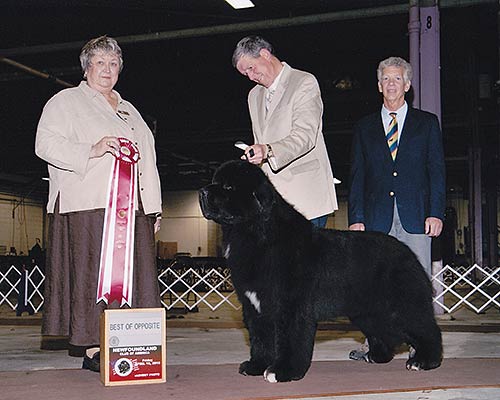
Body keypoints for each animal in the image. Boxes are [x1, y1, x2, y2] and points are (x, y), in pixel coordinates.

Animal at [198, 159, 442, 382]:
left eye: (229, 187)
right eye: (215, 182)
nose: (202, 191)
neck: (257, 232)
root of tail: (407, 251)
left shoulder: (290, 306)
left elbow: (289, 340)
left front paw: (283, 371)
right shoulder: (254, 307)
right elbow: (260, 339)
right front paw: (256, 366)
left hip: (402, 306)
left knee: (426, 329)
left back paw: (423, 361)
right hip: (367, 312)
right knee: (383, 333)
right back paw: (376, 356)